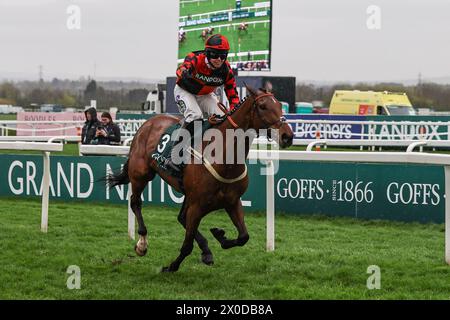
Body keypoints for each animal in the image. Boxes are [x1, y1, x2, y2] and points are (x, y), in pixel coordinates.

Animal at [107, 84, 294, 272]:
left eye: (279, 105)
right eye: (262, 106)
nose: (287, 136)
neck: (224, 157)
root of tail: (148, 123)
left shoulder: (231, 201)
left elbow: (243, 237)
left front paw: (220, 236)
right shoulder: (198, 204)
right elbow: (187, 245)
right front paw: (171, 266)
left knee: (181, 217)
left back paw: (206, 250)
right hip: (140, 174)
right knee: (135, 202)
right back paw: (142, 244)